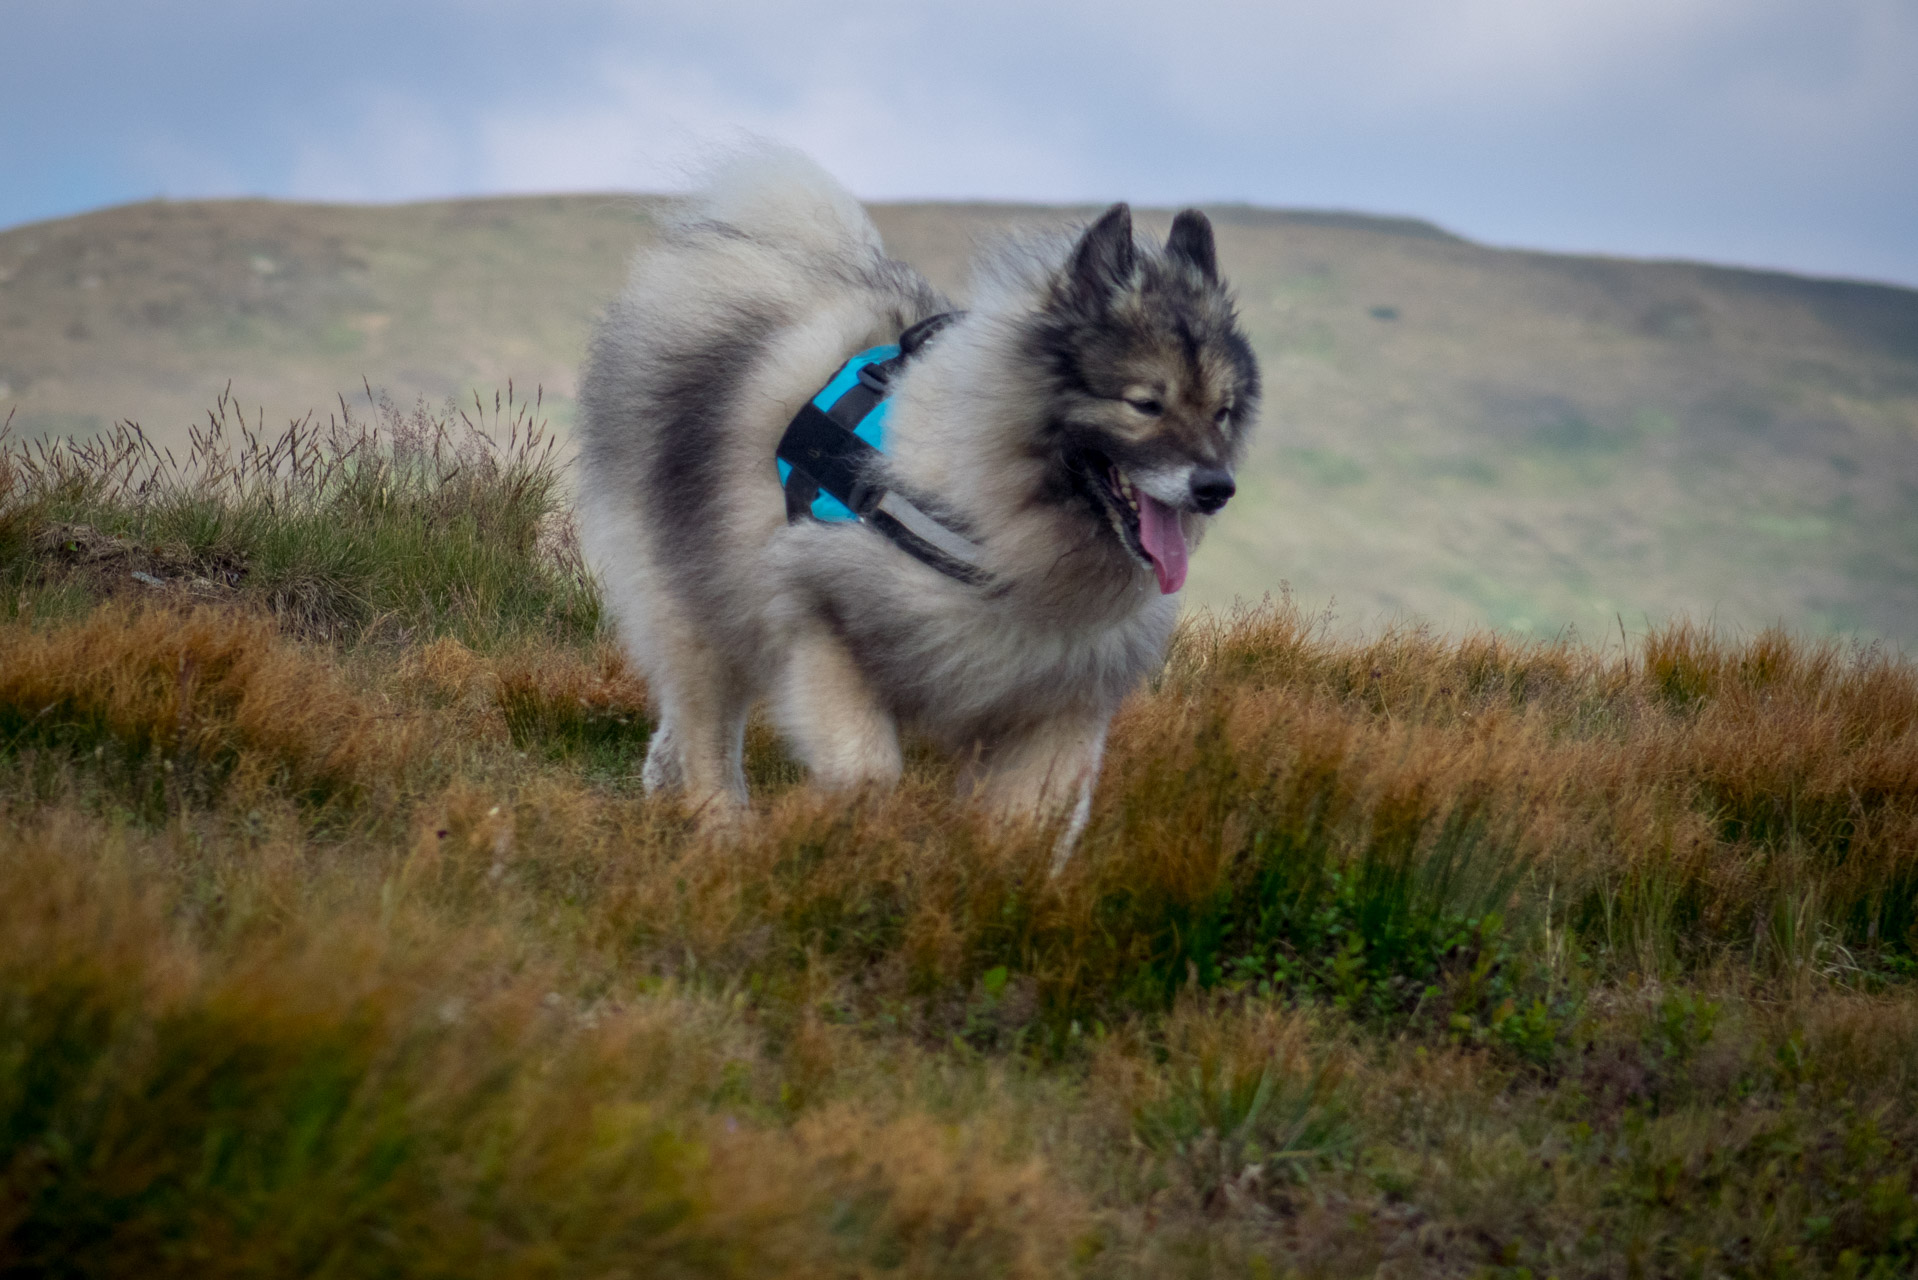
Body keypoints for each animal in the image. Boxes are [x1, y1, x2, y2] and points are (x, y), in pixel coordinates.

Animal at [567, 147, 1258, 859]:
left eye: (1223, 411)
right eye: (1145, 403)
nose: (1215, 488)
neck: (1001, 532)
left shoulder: (1057, 703)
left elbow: (1028, 831)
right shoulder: (823, 617)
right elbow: (866, 769)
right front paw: (815, 831)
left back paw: (666, 789)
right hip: (697, 599)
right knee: (706, 726)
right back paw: (721, 830)